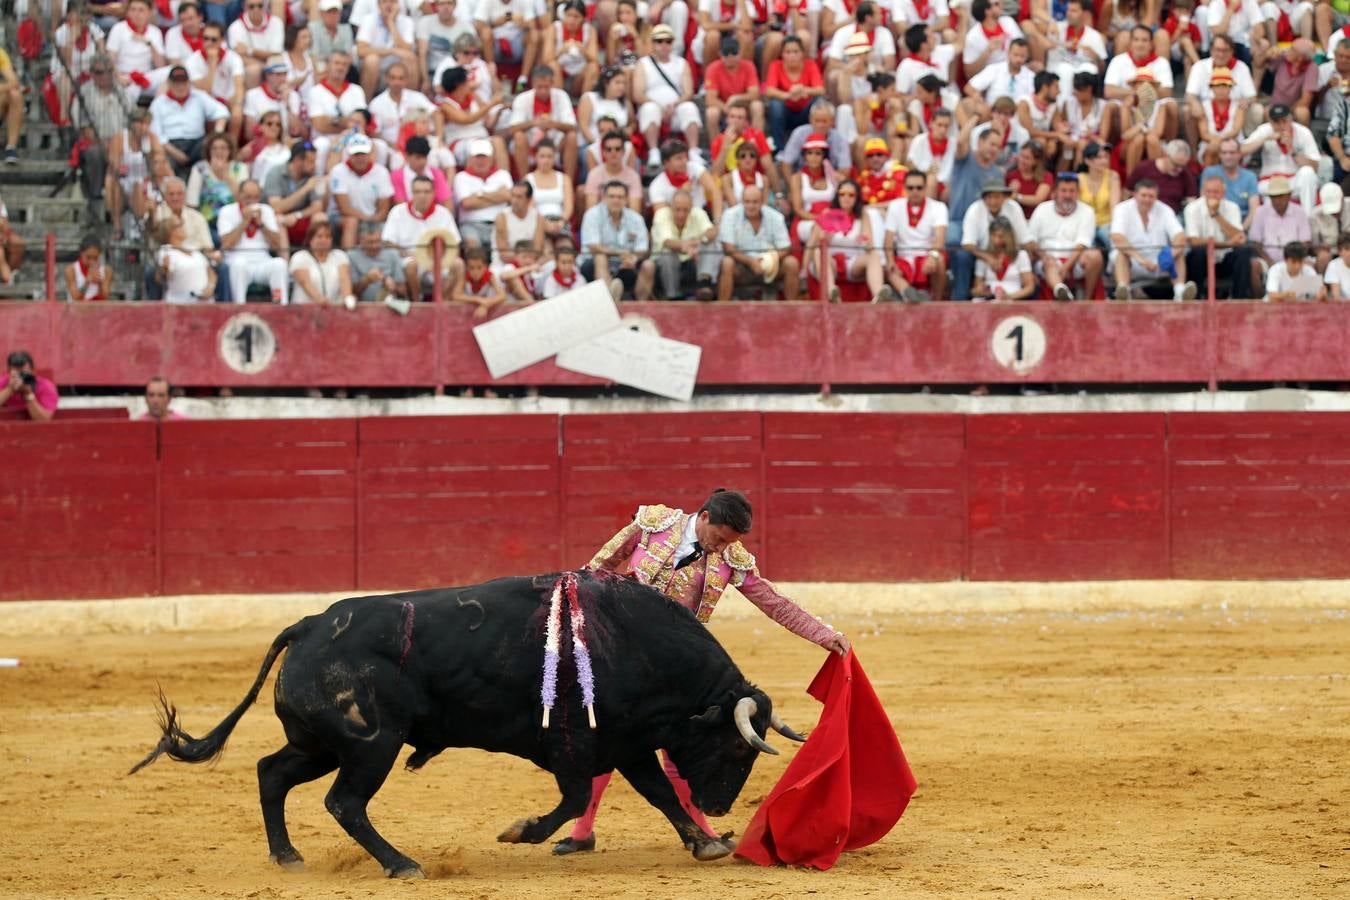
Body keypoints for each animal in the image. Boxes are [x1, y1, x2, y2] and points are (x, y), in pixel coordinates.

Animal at [126, 574, 799, 874]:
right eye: (737, 750)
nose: (720, 803)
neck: (635, 641)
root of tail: (310, 624)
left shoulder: (627, 742)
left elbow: (658, 792)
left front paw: (706, 841)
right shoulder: (572, 745)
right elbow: (576, 794)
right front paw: (522, 832)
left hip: (323, 743)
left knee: (272, 773)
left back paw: (287, 855)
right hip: (371, 745)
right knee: (344, 802)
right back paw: (401, 863)